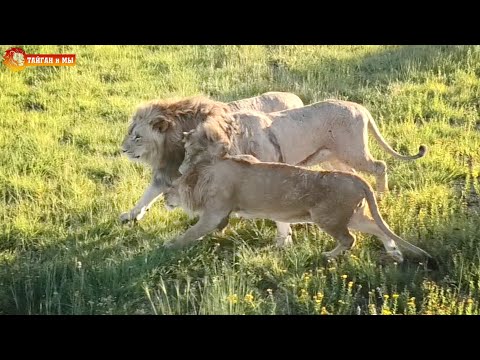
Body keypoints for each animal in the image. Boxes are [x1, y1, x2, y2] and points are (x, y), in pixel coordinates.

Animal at [119, 91, 300, 224]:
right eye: (129, 132)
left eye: (138, 137)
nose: (122, 150)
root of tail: (295, 97)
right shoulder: (167, 173)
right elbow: (147, 196)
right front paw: (131, 215)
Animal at [164, 131, 432, 262]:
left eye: (169, 190)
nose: (166, 200)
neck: (203, 175)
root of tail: (358, 180)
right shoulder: (220, 214)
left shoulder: (214, 211)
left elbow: (191, 232)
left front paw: (170, 246)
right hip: (353, 215)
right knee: (378, 230)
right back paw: (395, 253)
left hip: (327, 218)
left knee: (350, 239)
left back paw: (328, 256)